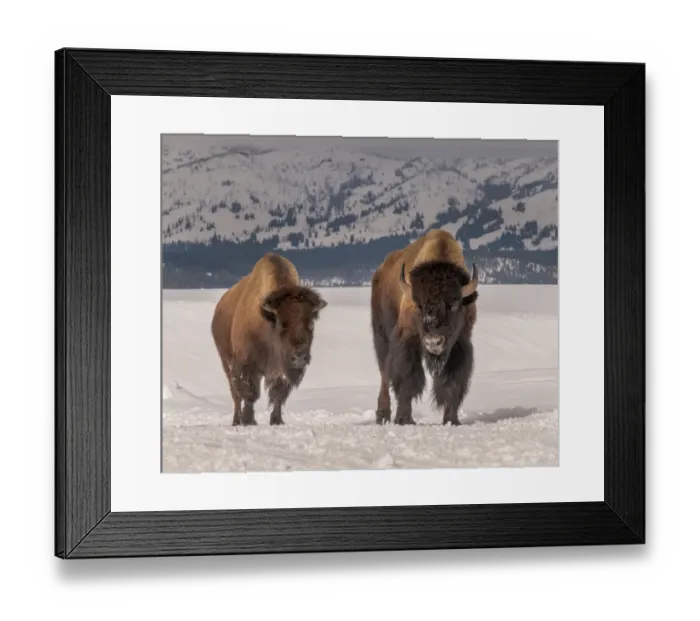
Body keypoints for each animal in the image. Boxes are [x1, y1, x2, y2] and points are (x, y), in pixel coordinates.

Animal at [211, 253, 327, 426]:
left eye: (311, 324)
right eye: (281, 323)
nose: (299, 357)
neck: (267, 320)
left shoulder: (280, 371)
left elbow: (279, 395)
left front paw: (277, 421)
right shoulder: (247, 365)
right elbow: (250, 394)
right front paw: (249, 421)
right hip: (227, 361)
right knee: (236, 394)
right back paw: (237, 420)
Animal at [370, 229, 479, 426]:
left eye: (454, 304)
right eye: (419, 305)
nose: (433, 342)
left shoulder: (460, 342)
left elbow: (452, 382)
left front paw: (451, 420)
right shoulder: (407, 340)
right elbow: (408, 378)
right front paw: (403, 419)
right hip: (381, 336)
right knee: (385, 372)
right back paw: (382, 415)